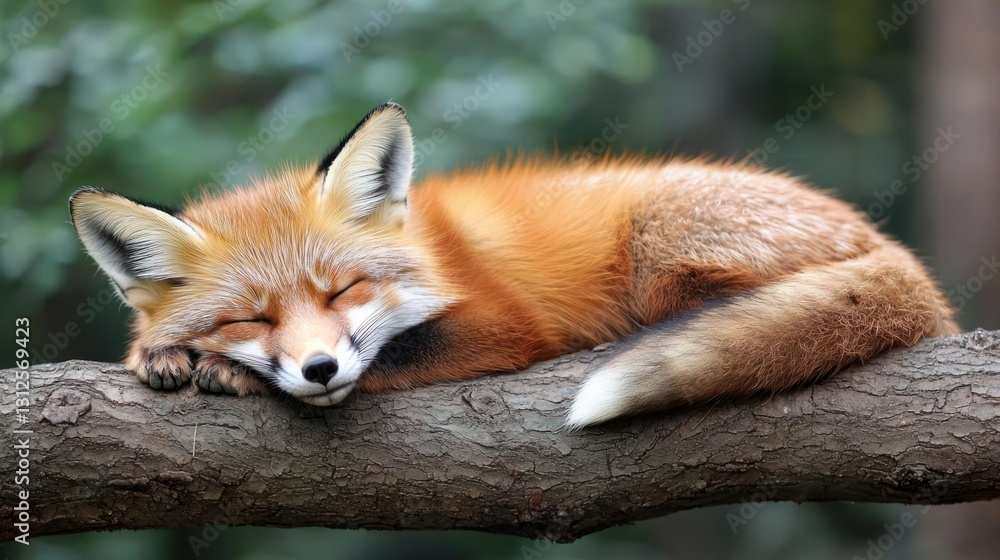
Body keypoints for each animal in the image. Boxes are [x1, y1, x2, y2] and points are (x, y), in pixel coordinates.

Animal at [69, 101, 959, 427]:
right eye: (250, 316)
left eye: (344, 289)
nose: (319, 369)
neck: (432, 252)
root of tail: (898, 253)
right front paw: (158, 352)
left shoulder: (505, 323)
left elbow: (397, 355)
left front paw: (236, 376)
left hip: (658, 250)